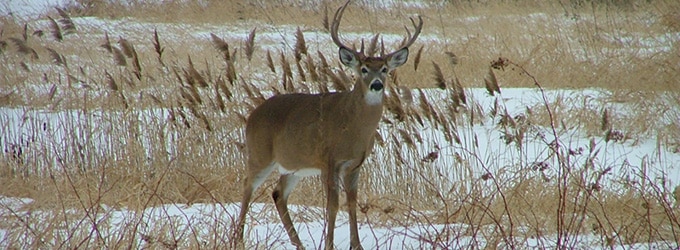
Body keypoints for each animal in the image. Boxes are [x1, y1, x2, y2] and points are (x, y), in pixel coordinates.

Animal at [236, 0, 422, 249]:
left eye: (384, 69)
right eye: (363, 69)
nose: (376, 85)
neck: (353, 128)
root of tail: (252, 115)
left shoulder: (355, 164)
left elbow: (351, 203)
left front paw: (357, 245)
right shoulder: (329, 160)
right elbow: (332, 205)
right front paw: (329, 244)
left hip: (294, 166)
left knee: (278, 193)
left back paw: (298, 243)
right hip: (260, 153)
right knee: (247, 185)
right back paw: (237, 238)